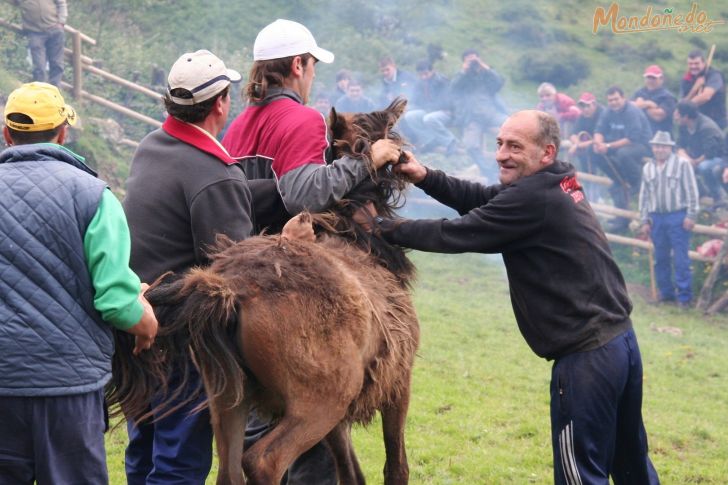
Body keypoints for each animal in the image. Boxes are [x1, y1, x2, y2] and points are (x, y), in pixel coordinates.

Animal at [105, 96, 418, 482]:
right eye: (391, 137)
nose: (407, 160)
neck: (359, 235)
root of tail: (231, 289)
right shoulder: (398, 381)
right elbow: (396, 465)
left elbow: (350, 472)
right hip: (320, 401)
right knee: (263, 459)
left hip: (228, 401)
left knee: (228, 470)